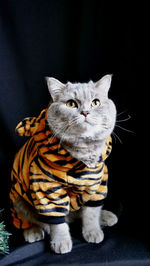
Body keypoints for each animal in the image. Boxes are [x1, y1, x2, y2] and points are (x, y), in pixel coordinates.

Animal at [9, 74, 117, 254]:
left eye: (95, 102)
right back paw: (33, 230)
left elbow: (91, 213)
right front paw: (61, 242)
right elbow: (57, 223)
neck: (83, 153)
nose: (85, 112)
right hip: (18, 199)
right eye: (71, 104)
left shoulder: (98, 184)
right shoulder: (47, 190)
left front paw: (93, 231)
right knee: (27, 220)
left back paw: (106, 216)